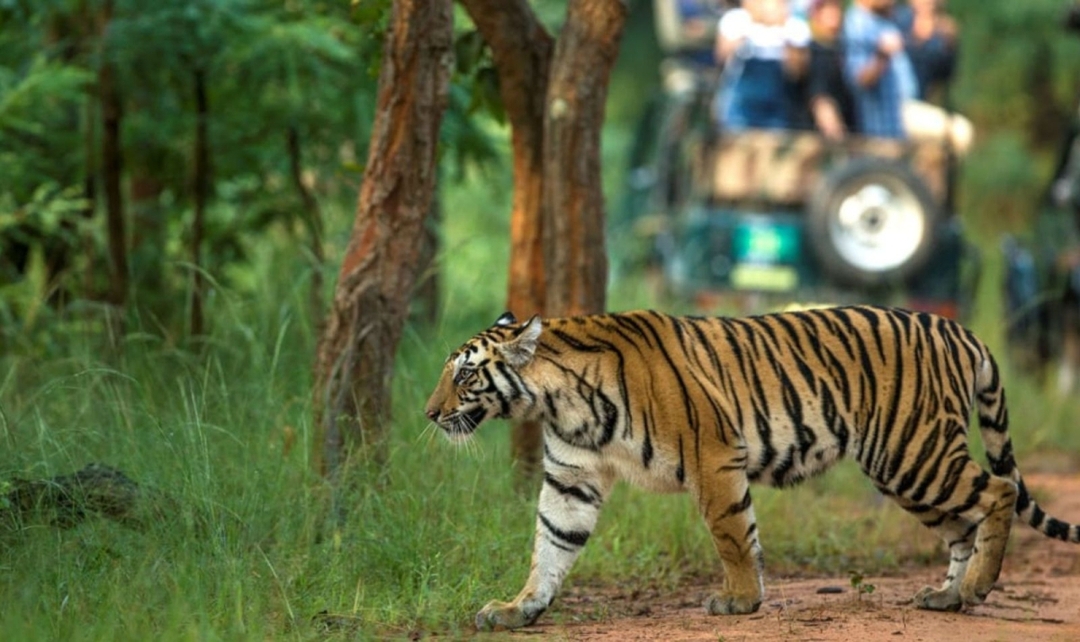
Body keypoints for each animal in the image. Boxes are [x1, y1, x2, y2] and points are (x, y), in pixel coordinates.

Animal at [423, 305, 1080, 631]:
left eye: (465, 374)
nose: (429, 413)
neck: (558, 400)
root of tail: (960, 329)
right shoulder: (571, 479)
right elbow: (551, 546)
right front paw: (519, 609)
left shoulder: (712, 453)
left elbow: (731, 533)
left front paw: (739, 601)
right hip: (907, 467)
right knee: (963, 524)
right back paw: (949, 597)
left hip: (912, 451)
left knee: (997, 491)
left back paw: (978, 587)